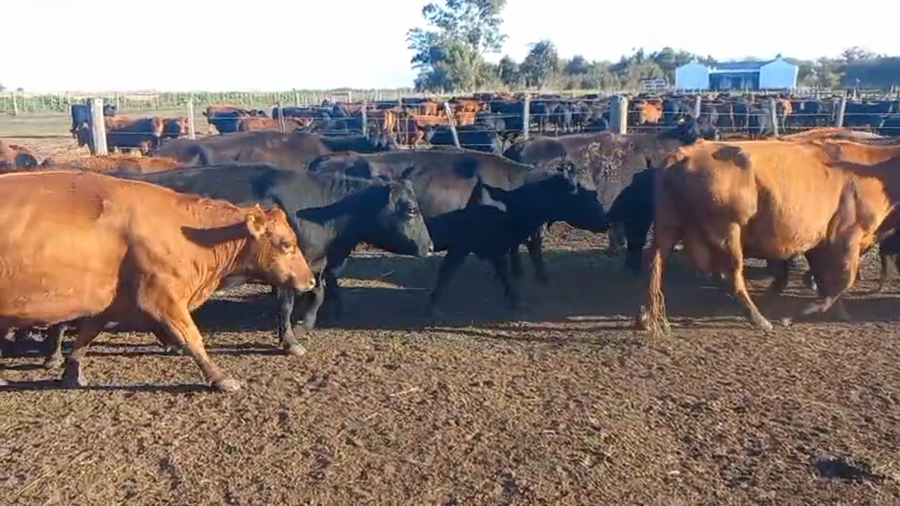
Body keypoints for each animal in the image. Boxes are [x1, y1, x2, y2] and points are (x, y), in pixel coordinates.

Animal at [0, 170, 316, 391]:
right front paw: (220, 378)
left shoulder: (111, 302)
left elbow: (86, 335)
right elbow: (192, 338)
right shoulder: (163, 297)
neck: (189, 233)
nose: (311, 280)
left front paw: (72, 373)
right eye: (286, 244)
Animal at [110, 164, 433, 352]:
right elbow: (285, 305)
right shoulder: (285, 271)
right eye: (411, 210)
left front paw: (305, 326)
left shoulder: (313, 266)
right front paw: (289, 341)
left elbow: (317, 294)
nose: (430, 247)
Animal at [636, 139, 900, 336]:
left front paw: (837, 310)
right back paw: (759, 319)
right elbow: (844, 279)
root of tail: (682, 156)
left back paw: (647, 318)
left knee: (655, 264)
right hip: (726, 232)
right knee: (732, 276)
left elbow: (826, 279)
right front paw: (803, 311)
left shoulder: (819, 242)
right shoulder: (847, 235)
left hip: (668, 227)